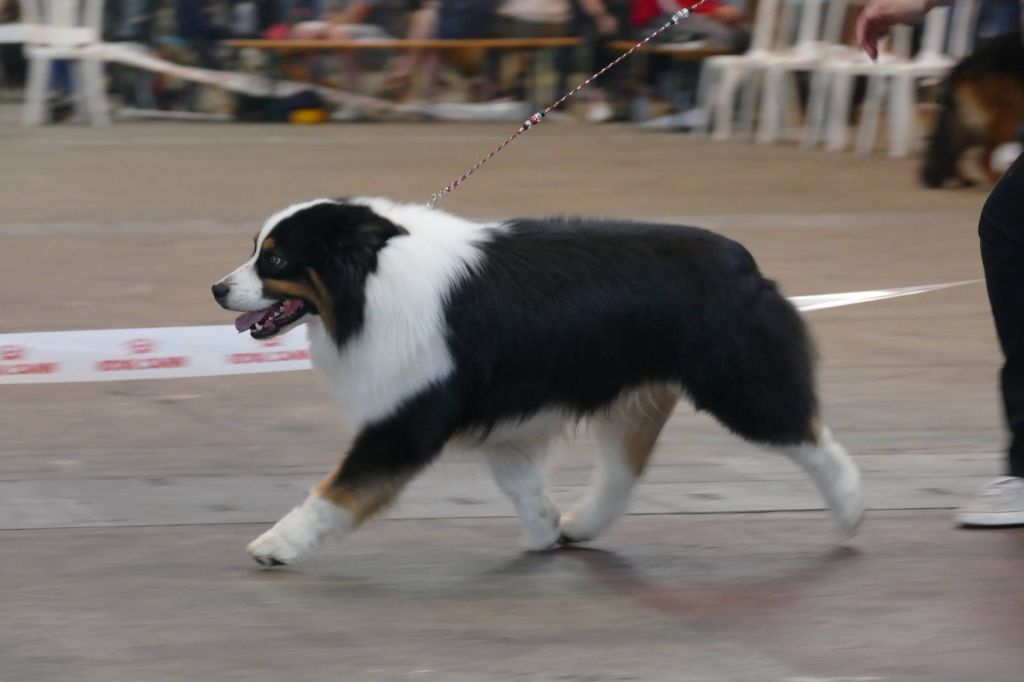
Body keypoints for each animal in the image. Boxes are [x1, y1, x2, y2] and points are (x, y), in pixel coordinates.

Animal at [212, 197, 864, 567]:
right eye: (256, 250)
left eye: (275, 260)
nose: (218, 289)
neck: (371, 283)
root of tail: (744, 262)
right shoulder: (498, 421)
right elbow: (522, 484)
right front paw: (545, 532)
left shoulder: (406, 419)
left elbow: (336, 492)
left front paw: (276, 545)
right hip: (632, 392)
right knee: (624, 469)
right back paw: (581, 525)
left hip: (740, 386)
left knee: (811, 438)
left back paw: (853, 510)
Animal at [922, 32, 1024, 188]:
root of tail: (964, 63)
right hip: (1008, 116)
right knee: (981, 158)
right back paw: (994, 179)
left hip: (970, 126)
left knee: (955, 154)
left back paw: (964, 179)